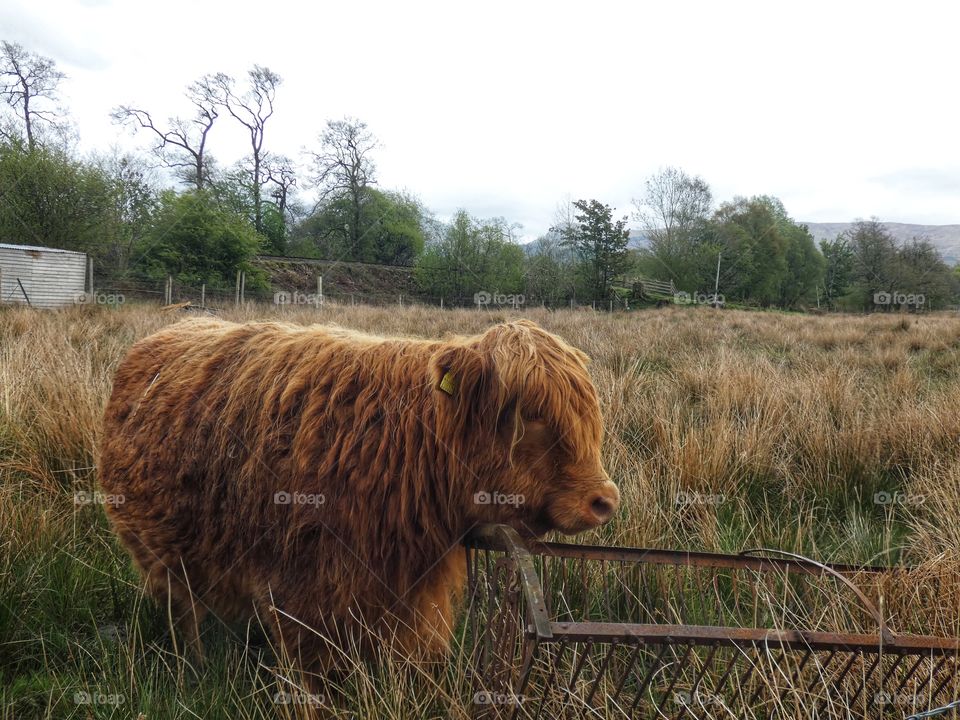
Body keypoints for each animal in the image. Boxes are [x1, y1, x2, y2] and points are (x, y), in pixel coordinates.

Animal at [98, 318, 619, 688]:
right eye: (530, 416)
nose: (604, 500)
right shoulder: (295, 593)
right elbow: (309, 685)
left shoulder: (401, 598)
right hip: (159, 552)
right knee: (183, 611)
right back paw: (196, 666)